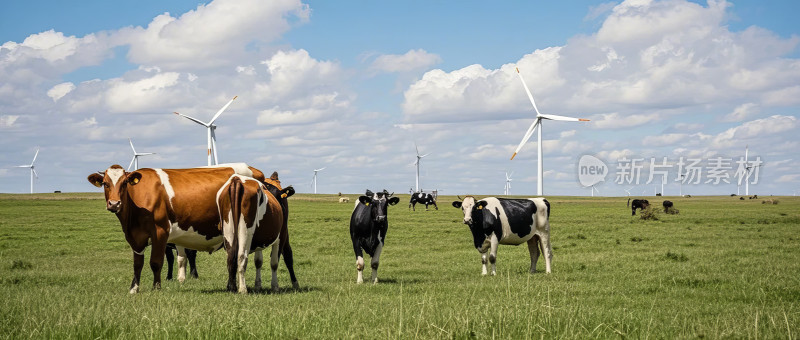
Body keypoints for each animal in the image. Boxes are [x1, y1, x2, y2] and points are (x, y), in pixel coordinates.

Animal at [88, 163, 268, 294]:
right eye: (105, 183)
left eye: (125, 183)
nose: (114, 204)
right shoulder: (135, 237)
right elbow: (137, 264)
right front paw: (134, 289)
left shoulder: (160, 232)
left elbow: (156, 262)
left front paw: (156, 288)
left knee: (254, 257)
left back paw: (255, 285)